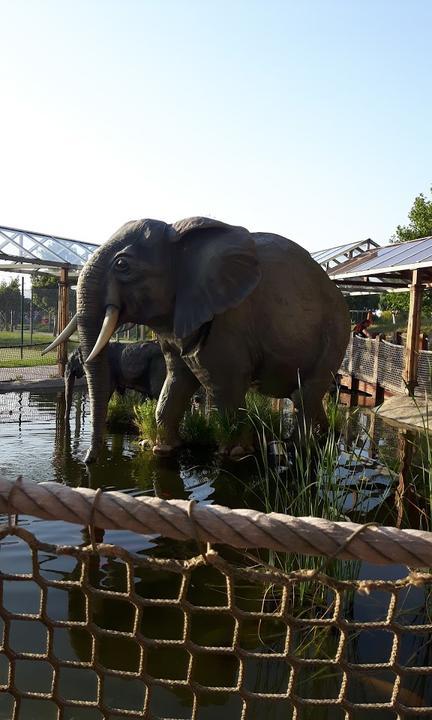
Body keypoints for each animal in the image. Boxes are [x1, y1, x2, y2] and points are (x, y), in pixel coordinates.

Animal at [44, 215, 352, 462]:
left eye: (122, 265)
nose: (88, 461)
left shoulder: (230, 319)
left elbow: (224, 385)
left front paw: (235, 455)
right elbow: (176, 379)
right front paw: (160, 448)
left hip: (337, 332)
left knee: (306, 393)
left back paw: (301, 449)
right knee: (305, 396)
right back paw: (325, 436)